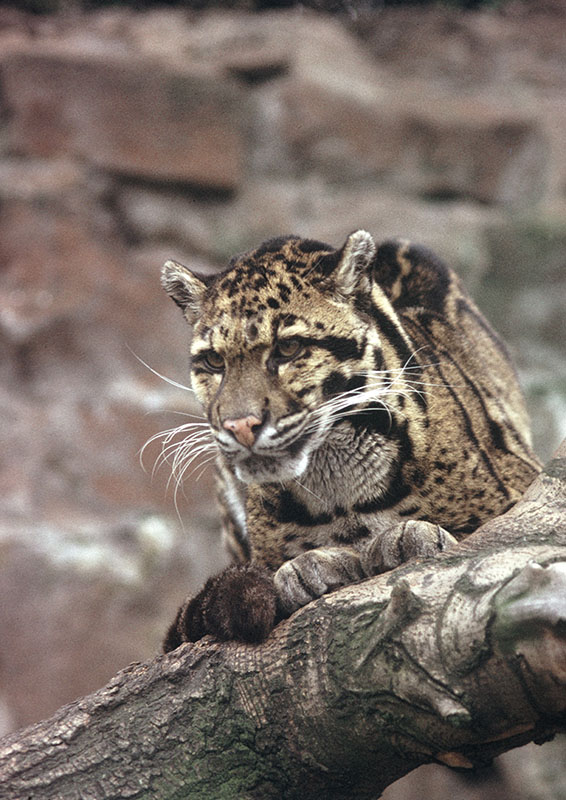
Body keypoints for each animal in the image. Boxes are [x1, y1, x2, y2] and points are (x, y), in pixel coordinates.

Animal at [159, 230, 541, 651]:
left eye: (288, 349)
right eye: (214, 361)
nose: (239, 425)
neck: (337, 483)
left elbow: (482, 538)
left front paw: (409, 538)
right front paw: (308, 567)